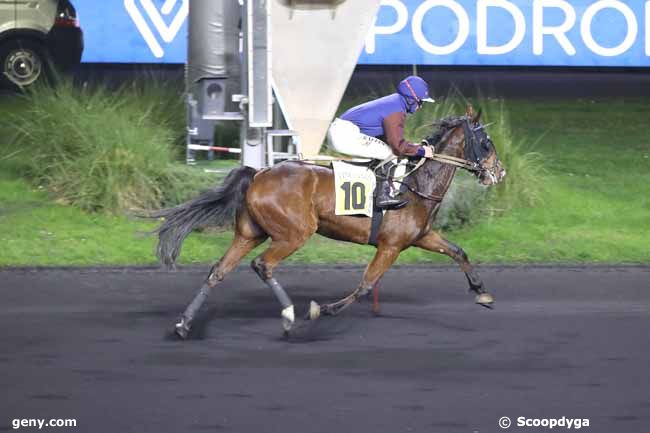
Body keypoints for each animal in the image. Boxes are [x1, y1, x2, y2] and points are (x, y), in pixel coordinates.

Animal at [154, 105, 504, 338]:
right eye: (486, 142)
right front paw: (322, 309)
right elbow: (366, 284)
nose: (499, 172)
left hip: (249, 233)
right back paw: (289, 316)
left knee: (218, 271)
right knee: (263, 265)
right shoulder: (391, 245)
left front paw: (483, 293)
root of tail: (258, 173)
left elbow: (458, 251)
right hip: (294, 233)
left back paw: (184, 324)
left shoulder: (419, 237)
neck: (416, 184)